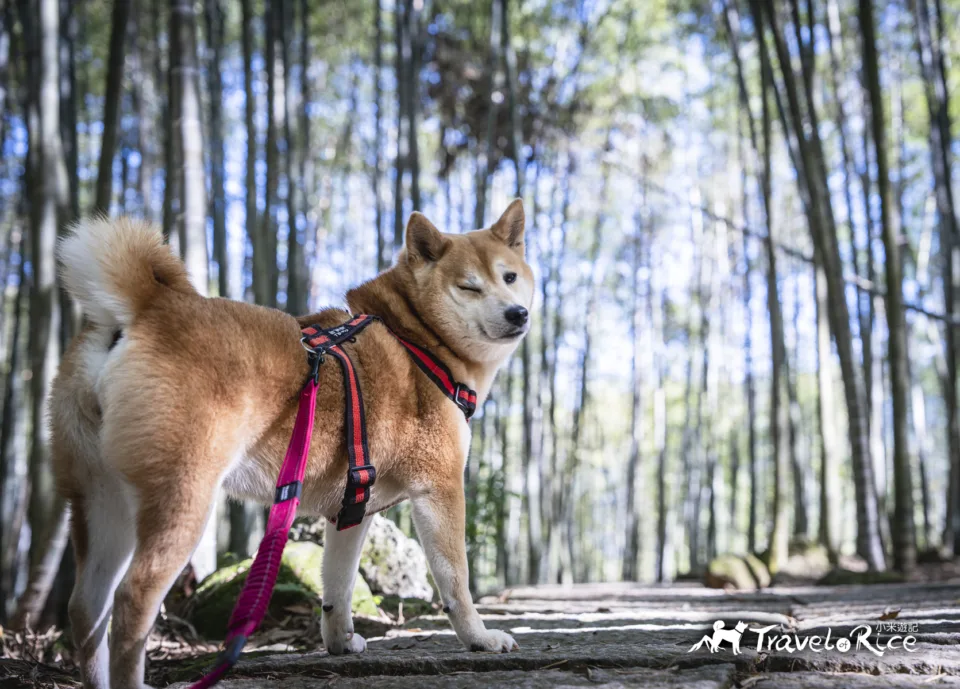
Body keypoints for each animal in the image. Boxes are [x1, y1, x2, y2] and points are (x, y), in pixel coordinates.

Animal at [50, 200, 532, 688]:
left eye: (509, 277)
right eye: (469, 286)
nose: (517, 313)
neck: (416, 340)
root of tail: (147, 306)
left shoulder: (354, 506)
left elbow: (338, 586)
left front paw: (339, 642)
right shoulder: (440, 488)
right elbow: (456, 579)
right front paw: (480, 637)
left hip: (102, 502)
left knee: (86, 608)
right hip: (182, 502)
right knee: (132, 601)